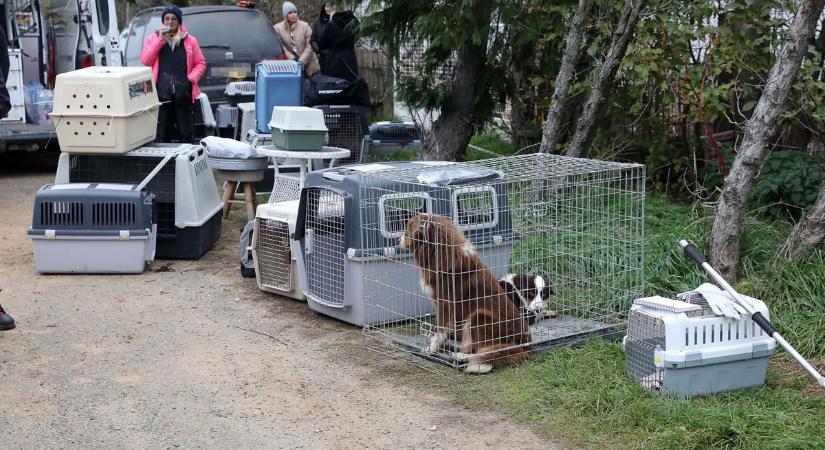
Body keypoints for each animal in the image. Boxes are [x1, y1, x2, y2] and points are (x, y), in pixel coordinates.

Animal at [400, 213, 532, 374]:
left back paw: (461, 356)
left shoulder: (445, 304)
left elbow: (439, 331)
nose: (399, 238)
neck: (439, 251)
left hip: (478, 316)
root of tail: (525, 346)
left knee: (482, 350)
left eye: (408, 227)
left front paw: (431, 349)